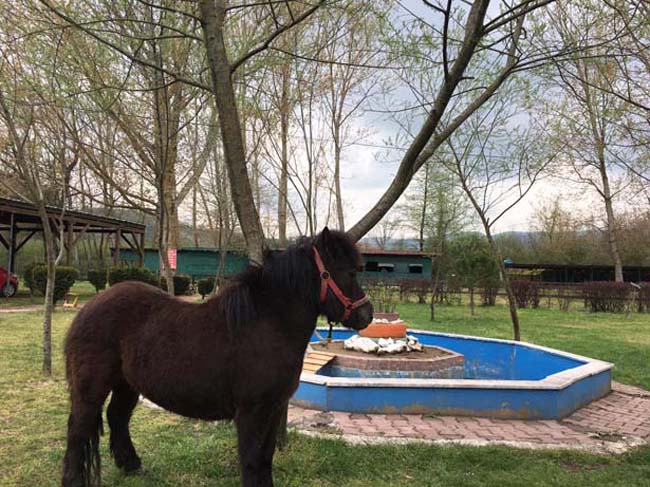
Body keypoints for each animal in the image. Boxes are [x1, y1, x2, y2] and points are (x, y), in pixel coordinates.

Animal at [62, 228, 373, 487]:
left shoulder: (273, 407)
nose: (366, 315)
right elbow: (251, 459)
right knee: (79, 428)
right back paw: (74, 479)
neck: (267, 323)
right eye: (350, 272)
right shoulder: (251, 411)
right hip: (91, 388)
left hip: (127, 384)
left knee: (117, 417)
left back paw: (132, 465)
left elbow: (266, 456)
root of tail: (87, 309)